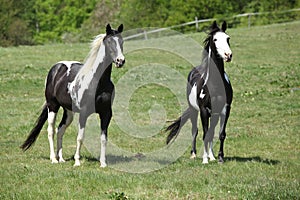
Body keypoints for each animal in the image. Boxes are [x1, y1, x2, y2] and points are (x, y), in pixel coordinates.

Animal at [20, 23, 125, 167]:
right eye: (109, 42)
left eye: (121, 41)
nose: (120, 61)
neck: (98, 82)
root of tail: (56, 68)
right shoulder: (84, 113)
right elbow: (80, 138)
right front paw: (77, 162)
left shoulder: (106, 113)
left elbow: (104, 138)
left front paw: (103, 163)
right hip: (53, 106)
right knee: (51, 130)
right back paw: (53, 159)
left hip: (68, 112)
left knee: (60, 130)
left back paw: (61, 158)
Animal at [166, 20, 232, 164]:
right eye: (215, 39)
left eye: (228, 38)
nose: (228, 55)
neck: (215, 84)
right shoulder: (203, 110)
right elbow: (205, 134)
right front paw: (205, 159)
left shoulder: (225, 109)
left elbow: (220, 134)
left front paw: (219, 158)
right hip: (193, 110)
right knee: (194, 130)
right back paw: (194, 154)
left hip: (214, 113)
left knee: (212, 132)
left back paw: (212, 156)